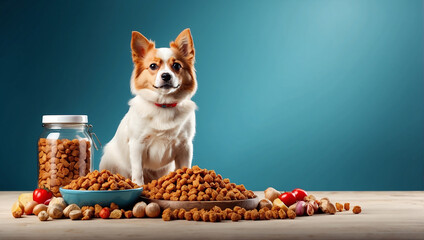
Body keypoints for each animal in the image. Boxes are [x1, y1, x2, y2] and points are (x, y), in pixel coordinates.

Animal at [99, 28, 197, 186]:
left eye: (176, 66)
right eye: (153, 66)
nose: (166, 75)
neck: (164, 105)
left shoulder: (185, 146)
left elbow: (184, 168)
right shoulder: (137, 145)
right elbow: (138, 171)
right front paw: (139, 187)